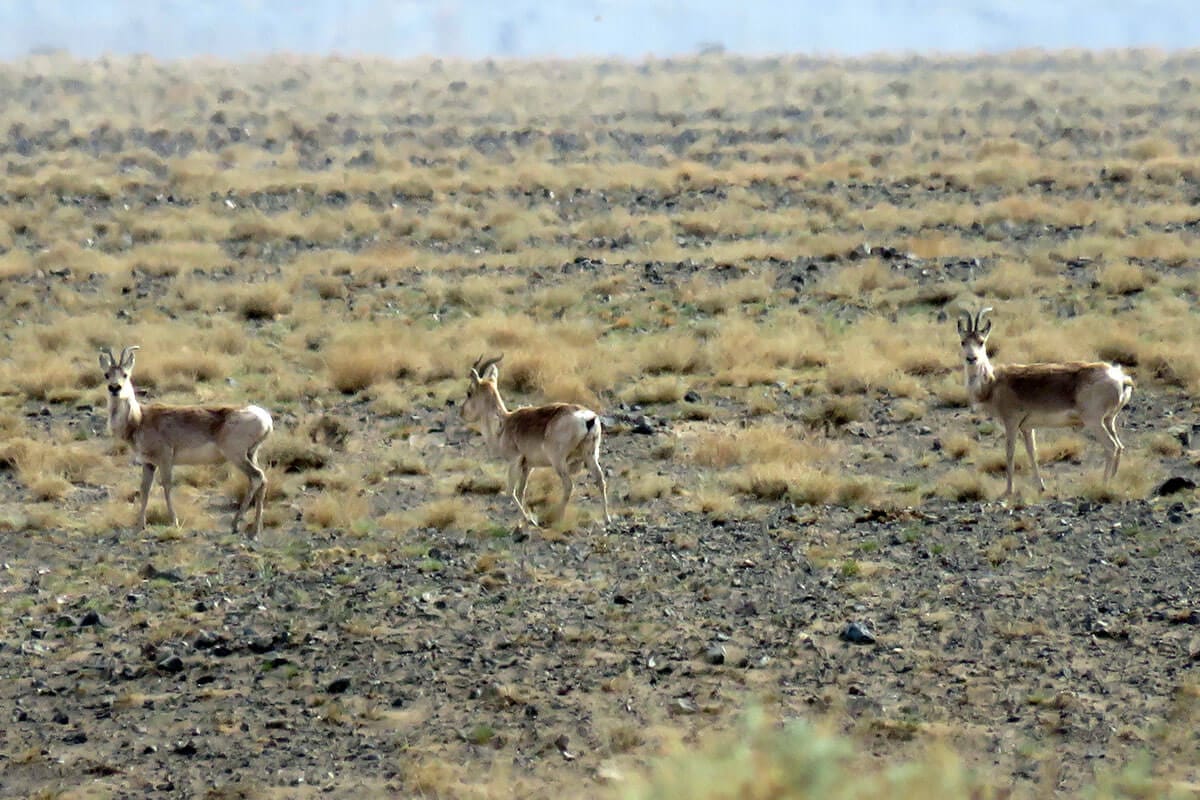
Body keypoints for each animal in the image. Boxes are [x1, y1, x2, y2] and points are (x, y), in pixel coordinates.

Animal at [99, 345, 274, 535]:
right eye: (106, 374)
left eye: (125, 374)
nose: (115, 388)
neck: (140, 418)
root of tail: (264, 418)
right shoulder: (148, 463)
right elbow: (145, 489)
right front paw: (140, 526)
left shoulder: (165, 459)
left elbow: (167, 485)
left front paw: (175, 522)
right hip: (251, 455)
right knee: (262, 480)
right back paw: (255, 528)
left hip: (237, 456)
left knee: (257, 476)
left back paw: (240, 526)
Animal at [460, 354, 611, 527]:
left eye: (469, 392)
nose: (461, 412)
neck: (504, 424)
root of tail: (588, 418)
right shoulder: (528, 467)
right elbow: (521, 492)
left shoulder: (514, 462)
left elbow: (511, 491)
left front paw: (529, 519)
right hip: (590, 456)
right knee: (600, 480)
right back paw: (607, 518)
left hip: (559, 462)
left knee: (568, 486)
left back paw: (557, 518)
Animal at [957, 307, 1134, 498]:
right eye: (963, 342)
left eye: (981, 341)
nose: (971, 358)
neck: (993, 383)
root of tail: (1121, 378)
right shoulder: (1027, 428)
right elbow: (1032, 453)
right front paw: (1041, 487)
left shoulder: (1011, 424)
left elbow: (1010, 453)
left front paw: (1008, 490)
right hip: (1109, 421)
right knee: (1120, 446)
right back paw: (1114, 482)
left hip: (1094, 422)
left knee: (1111, 447)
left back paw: (1103, 485)